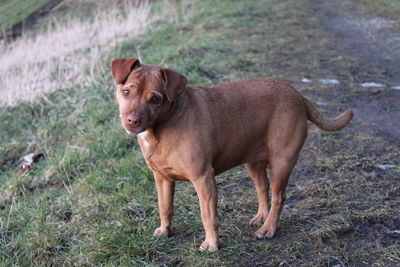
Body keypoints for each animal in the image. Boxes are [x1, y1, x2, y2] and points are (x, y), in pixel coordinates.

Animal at [111, 57, 352, 252]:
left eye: (155, 99)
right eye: (126, 92)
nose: (132, 120)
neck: (164, 124)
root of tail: (298, 95)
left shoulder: (204, 179)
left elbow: (208, 216)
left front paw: (211, 245)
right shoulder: (162, 178)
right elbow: (165, 207)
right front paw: (165, 230)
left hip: (282, 162)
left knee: (279, 197)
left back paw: (268, 228)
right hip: (253, 162)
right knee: (262, 188)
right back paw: (261, 217)